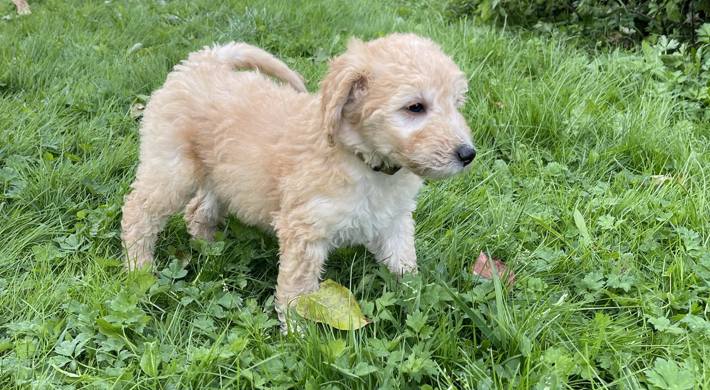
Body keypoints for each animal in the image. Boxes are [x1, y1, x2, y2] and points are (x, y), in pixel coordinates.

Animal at [122, 33, 478, 326]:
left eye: (456, 104)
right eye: (415, 107)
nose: (467, 154)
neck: (364, 162)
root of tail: (204, 60)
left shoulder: (395, 221)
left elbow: (404, 264)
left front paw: (419, 298)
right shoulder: (304, 230)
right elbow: (298, 292)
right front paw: (298, 336)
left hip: (221, 174)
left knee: (198, 210)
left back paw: (210, 250)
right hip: (171, 168)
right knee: (138, 212)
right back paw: (139, 267)